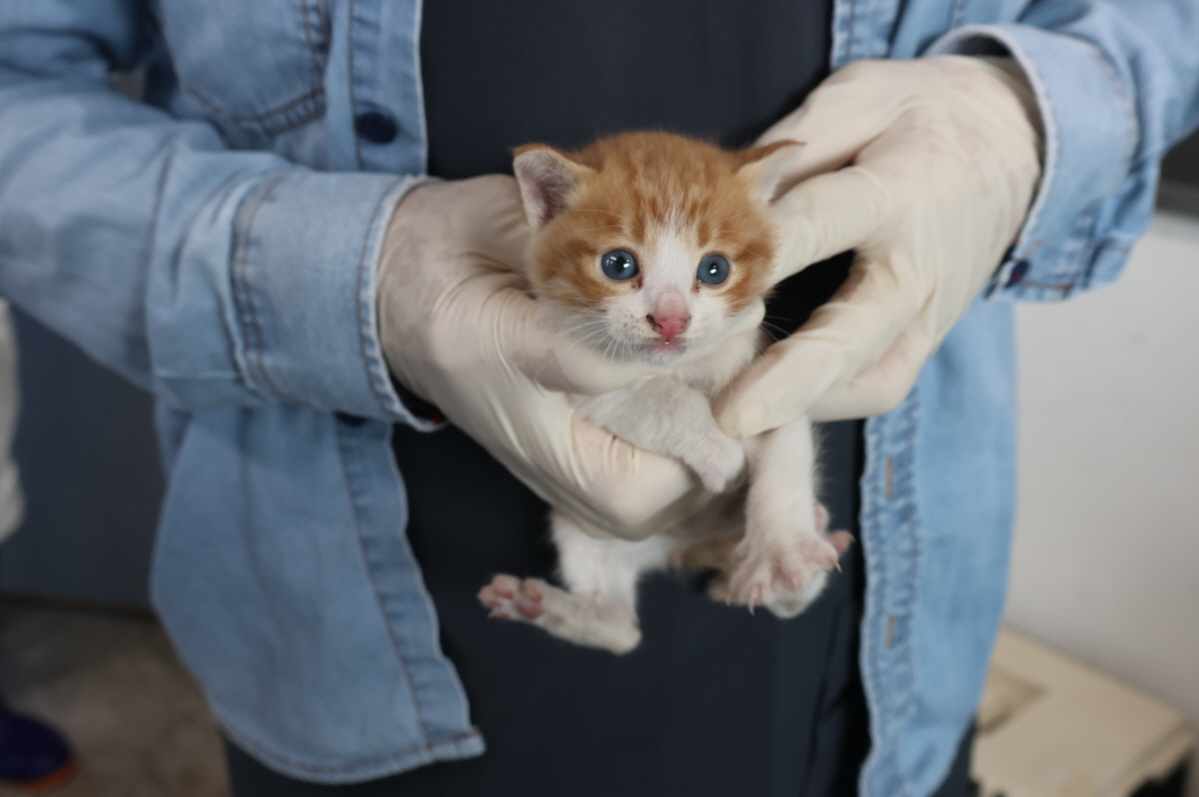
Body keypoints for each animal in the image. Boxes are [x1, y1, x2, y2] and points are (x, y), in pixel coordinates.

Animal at [477, 130, 853, 651]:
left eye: (714, 269)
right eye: (618, 264)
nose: (671, 319)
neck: (682, 368)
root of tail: (685, 548)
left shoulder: (769, 379)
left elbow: (784, 448)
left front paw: (782, 551)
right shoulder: (579, 380)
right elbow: (653, 398)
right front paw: (717, 450)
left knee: (787, 603)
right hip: (583, 523)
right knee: (622, 632)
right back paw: (550, 607)